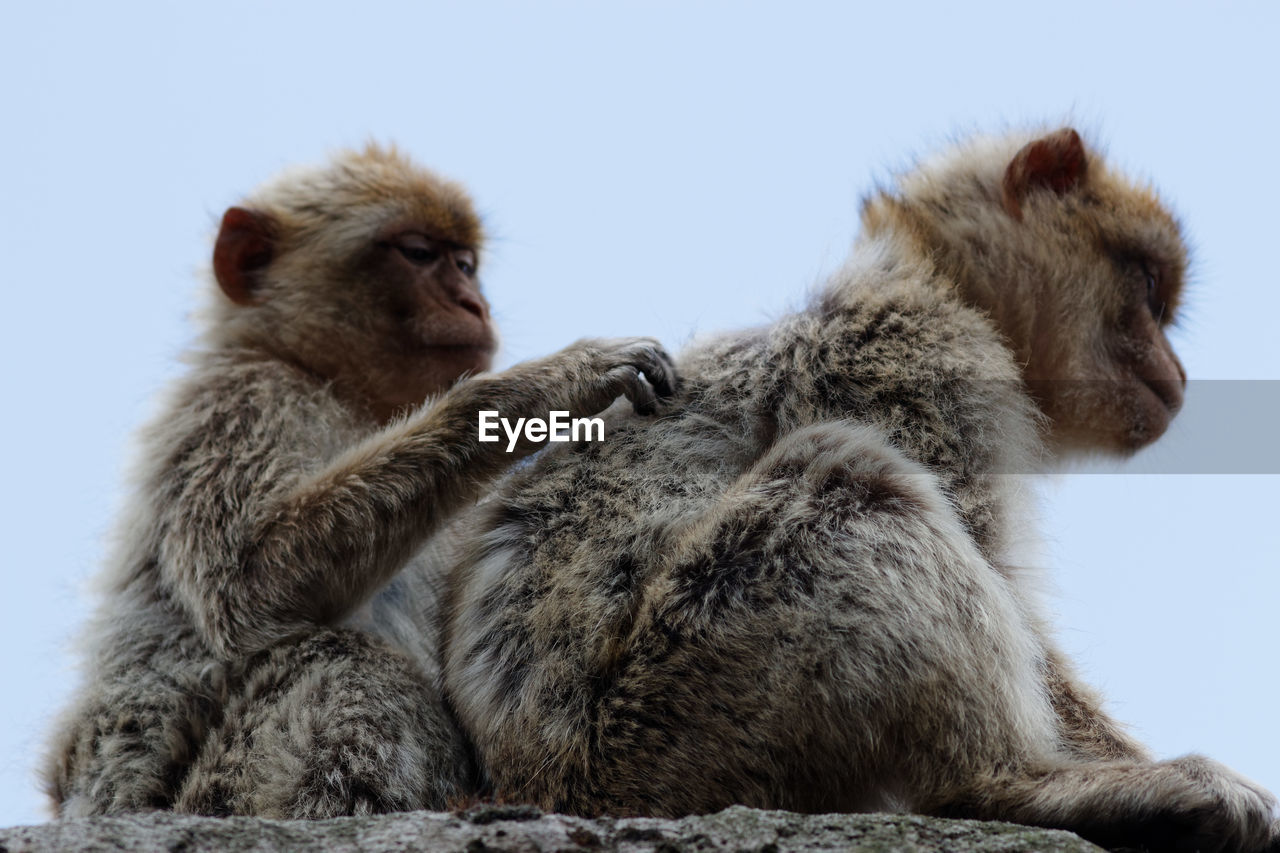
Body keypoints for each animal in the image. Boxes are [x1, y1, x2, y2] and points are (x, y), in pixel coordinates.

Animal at [42, 144, 680, 819]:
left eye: (466, 264)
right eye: (419, 254)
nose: (474, 304)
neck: (331, 382)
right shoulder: (240, 406)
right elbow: (248, 590)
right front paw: (539, 387)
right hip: (216, 797)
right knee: (351, 664)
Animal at [442, 128, 1280, 850]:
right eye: (1147, 287)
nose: (1177, 374)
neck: (938, 275)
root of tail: (542, 784)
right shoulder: (915, 355)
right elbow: (993, 571)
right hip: (671, 720)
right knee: (848, 477)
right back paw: (1011, 784)